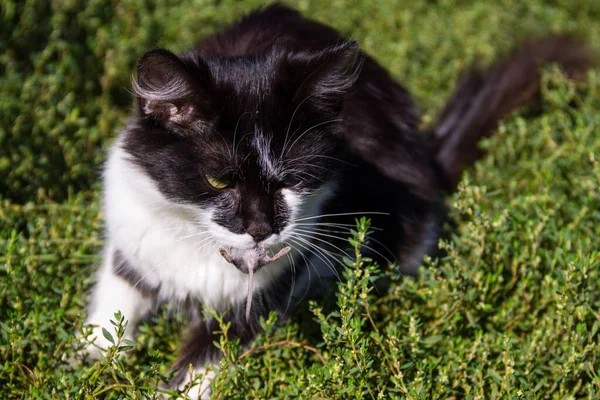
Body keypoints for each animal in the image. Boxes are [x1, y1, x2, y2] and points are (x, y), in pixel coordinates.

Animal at [82, 3, 592, 396]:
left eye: (292, 180)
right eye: (217, 181)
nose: (262, 228)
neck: (203, 252)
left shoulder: (268, 293)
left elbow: (201, 364)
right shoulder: (133, 238)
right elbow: (112, 308)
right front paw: (86, 367)